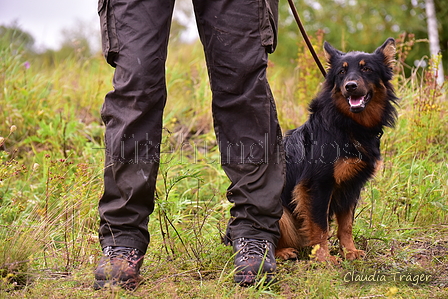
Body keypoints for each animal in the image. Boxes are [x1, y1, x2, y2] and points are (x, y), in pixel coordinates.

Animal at [276, 38, 400, 264]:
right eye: (342, 72)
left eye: (367, 69)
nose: (350, 86)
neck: (348, 125)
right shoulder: (318, 185)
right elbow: (320, 226)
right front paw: (324, 258)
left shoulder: (351, 187)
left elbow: (346, 225)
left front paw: (349, 251)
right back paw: (281, 252)